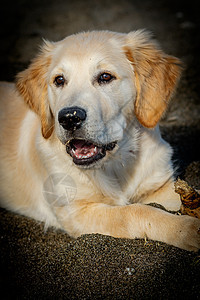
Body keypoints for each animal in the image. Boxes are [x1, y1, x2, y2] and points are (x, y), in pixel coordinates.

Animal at [0, 30, 200, 251]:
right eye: (59, 80)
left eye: (105, 77)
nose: (69, 118)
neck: (116, 163)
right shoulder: (76, 211)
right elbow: (134, 212)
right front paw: (186, 229)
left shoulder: (159, 187)